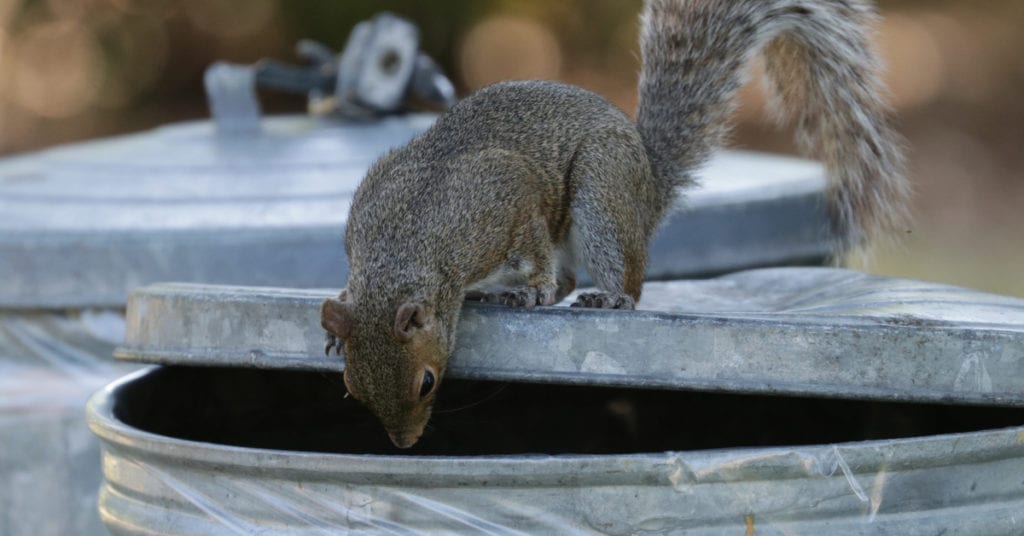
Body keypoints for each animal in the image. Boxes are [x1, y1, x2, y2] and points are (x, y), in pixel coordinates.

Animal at [317, 0, 905, 448]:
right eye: (352, 388)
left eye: (427, 382)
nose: (404, 444)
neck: (403, 246)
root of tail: (645, 186)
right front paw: (337, 316)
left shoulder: (506, 199)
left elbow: (533, 252)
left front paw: (531, 290)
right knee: (571, 278)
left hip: (601, 197)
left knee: (611, 280)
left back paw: (604, 296)